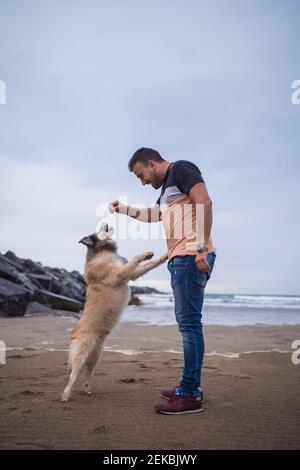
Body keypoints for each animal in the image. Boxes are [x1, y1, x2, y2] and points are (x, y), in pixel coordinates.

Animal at [60, 223, 166, 400]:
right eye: (99, 229)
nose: (105, 223)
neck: (102, 252)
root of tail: (74, 333)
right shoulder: (119, 274)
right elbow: (134, 259)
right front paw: (145, 254)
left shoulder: (131, 273)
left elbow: (148, 264)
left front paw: (162, 256)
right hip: (82, 353)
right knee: (73, 375)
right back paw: (66, 394)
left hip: (96, 356)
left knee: (87, 373)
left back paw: (86, 388)